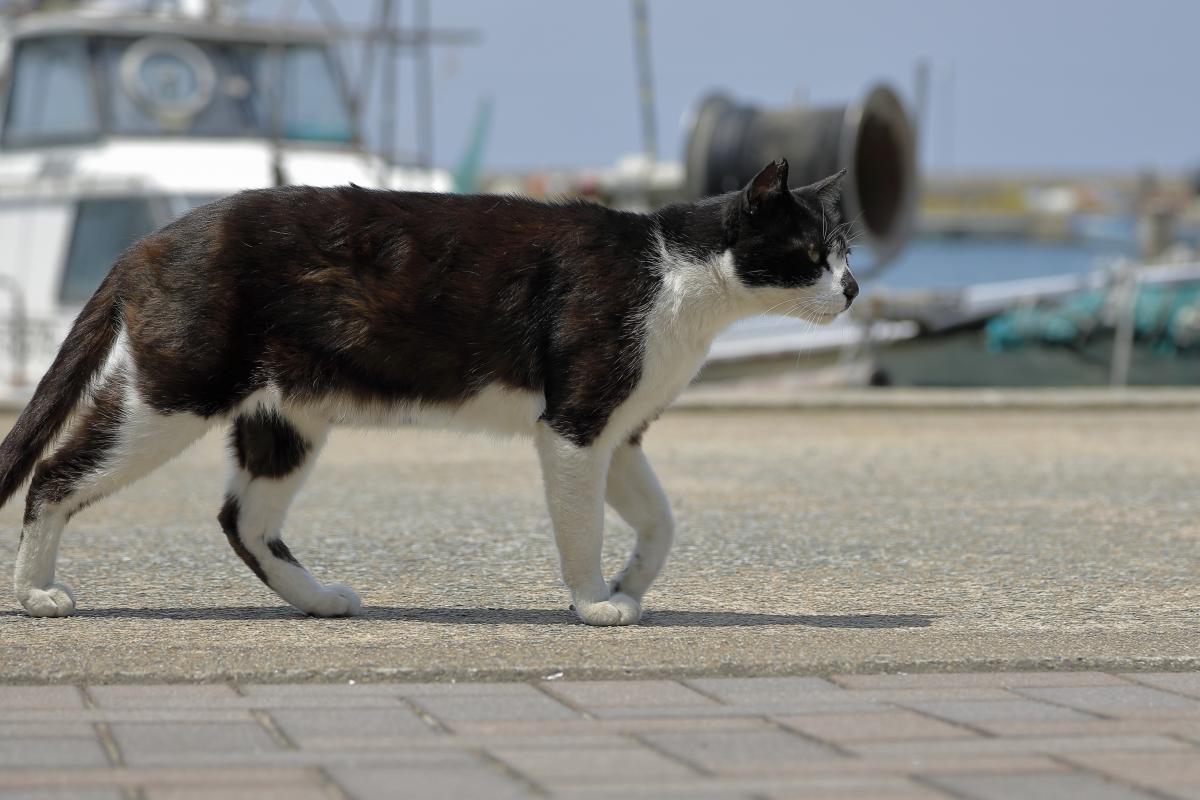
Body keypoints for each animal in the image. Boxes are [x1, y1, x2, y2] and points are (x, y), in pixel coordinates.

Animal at [2, 159, 864, 623]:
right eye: (811, 253)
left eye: (846, 252)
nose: (855, 288)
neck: (677, 277)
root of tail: (147, 240)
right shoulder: (576, 422)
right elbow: (581, 528)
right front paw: (594, 601)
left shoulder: (620, 430)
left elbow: (661, 521)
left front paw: (631, 582)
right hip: (177, 390)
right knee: (55, 473)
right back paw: (37, 593)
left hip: (285, 416)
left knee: (242, 518)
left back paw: (317, 599)